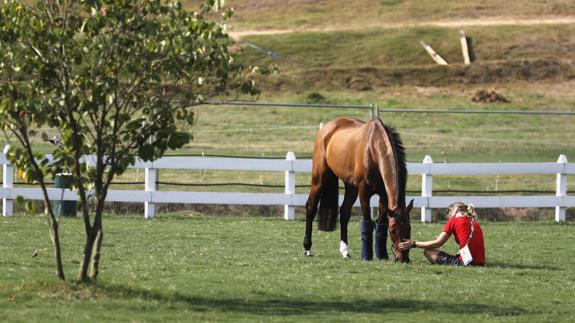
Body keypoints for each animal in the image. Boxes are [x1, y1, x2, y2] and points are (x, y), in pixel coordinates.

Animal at [304, 116, 412, 264]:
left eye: (409, 228)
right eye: (393, 230)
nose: (403, 259)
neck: (373, 149)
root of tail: (327, 128)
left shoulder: (383, 194)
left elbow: (381, 222)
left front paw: (382, 255)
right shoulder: (363, 191)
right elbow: (367, 221)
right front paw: (367, 256)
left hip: (351, 187)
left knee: (344, 213)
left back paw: (345, 251)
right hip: (319, 178)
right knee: (311, 207)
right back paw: (308, 248)